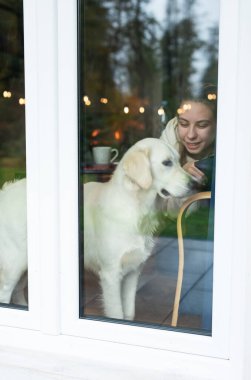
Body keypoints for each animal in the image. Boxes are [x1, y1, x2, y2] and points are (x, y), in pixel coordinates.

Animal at [83, 137, 191, 320]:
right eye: (167, 162)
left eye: (178, 160)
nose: (197, 183)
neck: (137, 208)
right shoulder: (110, 275)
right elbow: (117, 314)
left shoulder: (133, 271)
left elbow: (129, 312)